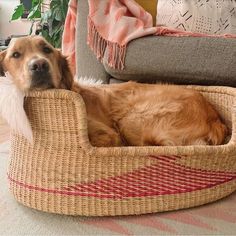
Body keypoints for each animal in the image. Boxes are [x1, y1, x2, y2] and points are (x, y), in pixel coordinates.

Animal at [0, 36, 227, 147]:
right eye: (16, 55)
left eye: (46, 49)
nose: (39, 65)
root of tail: (215, 119)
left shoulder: (110, 135)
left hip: (132, 119)